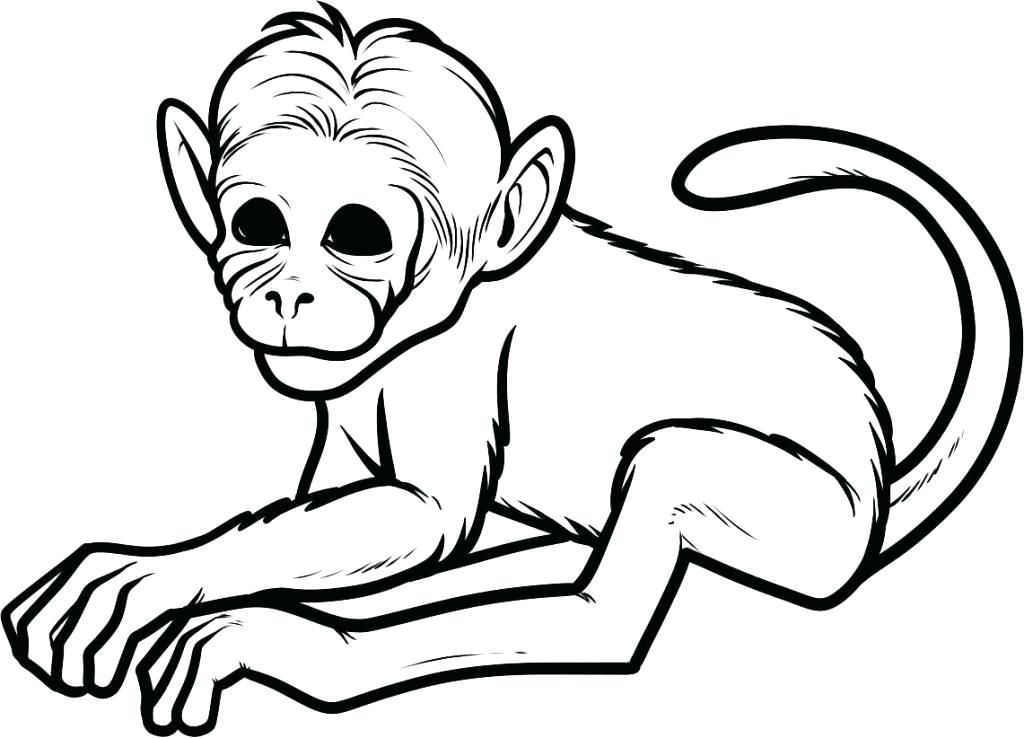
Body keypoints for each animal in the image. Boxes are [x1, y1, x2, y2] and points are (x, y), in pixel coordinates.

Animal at [3, 4, 1020, 735]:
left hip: (811, 520)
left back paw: (312, 650)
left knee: (612, 590)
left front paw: (181, 584)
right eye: (258, 224)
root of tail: (878, 478)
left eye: (356, 235)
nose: (289, 294)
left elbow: (426, 516)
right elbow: (338, 511)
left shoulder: (447, 367)